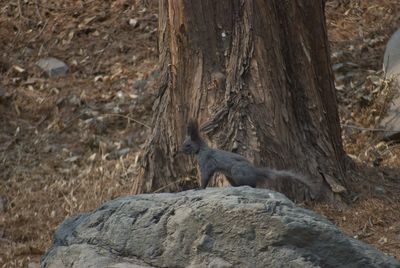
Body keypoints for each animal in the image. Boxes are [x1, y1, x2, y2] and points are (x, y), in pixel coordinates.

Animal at [180, 119, 314, 195]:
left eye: (188, 145)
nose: (180, 150)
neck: (200, 150)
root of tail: (256, 171)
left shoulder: (206, 162)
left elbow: (205, 176)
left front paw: (199, 188)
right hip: (230, 176)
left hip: (237, 171)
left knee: (253, 184)